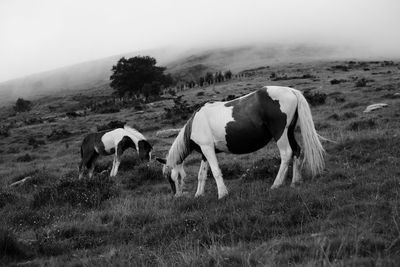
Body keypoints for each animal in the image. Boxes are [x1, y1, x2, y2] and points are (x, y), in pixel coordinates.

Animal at [156, 87, 324, 200]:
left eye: (171, 178)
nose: (177, 196)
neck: (195, 123)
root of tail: (291, 90)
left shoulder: (207, 149)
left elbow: (215, 171)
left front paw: (222, 194)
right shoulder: (205, 152)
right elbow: (201, 174)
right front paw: (198, 194)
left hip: (280, 133)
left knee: (286, 154)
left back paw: (276, 184)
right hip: (289, 132)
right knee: (297, 151)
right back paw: (295, 182)